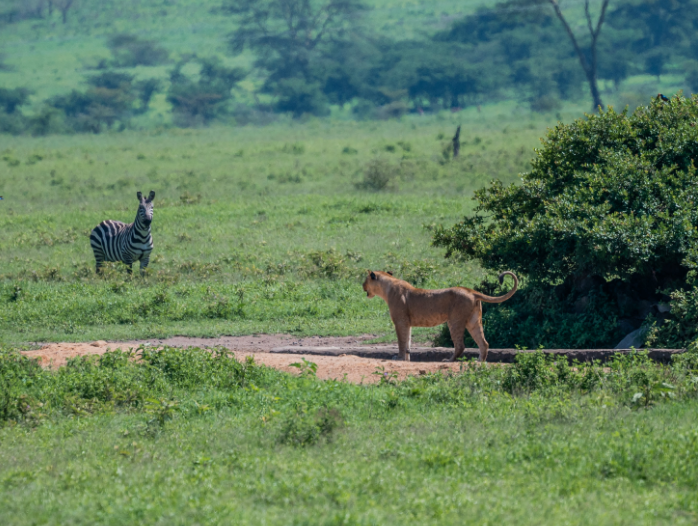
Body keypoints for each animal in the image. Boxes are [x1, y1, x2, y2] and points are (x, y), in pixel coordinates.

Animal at [362, 270, 518, 362]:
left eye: (365, 280)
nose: (362, 286)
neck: (386, 289)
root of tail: (471, 291)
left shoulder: (400, 321)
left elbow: (401, 341)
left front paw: (399, 358)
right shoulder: (407, 323)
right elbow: (407, 342)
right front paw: (406, 359)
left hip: (454, 321)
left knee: (460, 345)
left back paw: (449, 360)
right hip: (474, 321)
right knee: (484, 343)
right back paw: (479, 361)